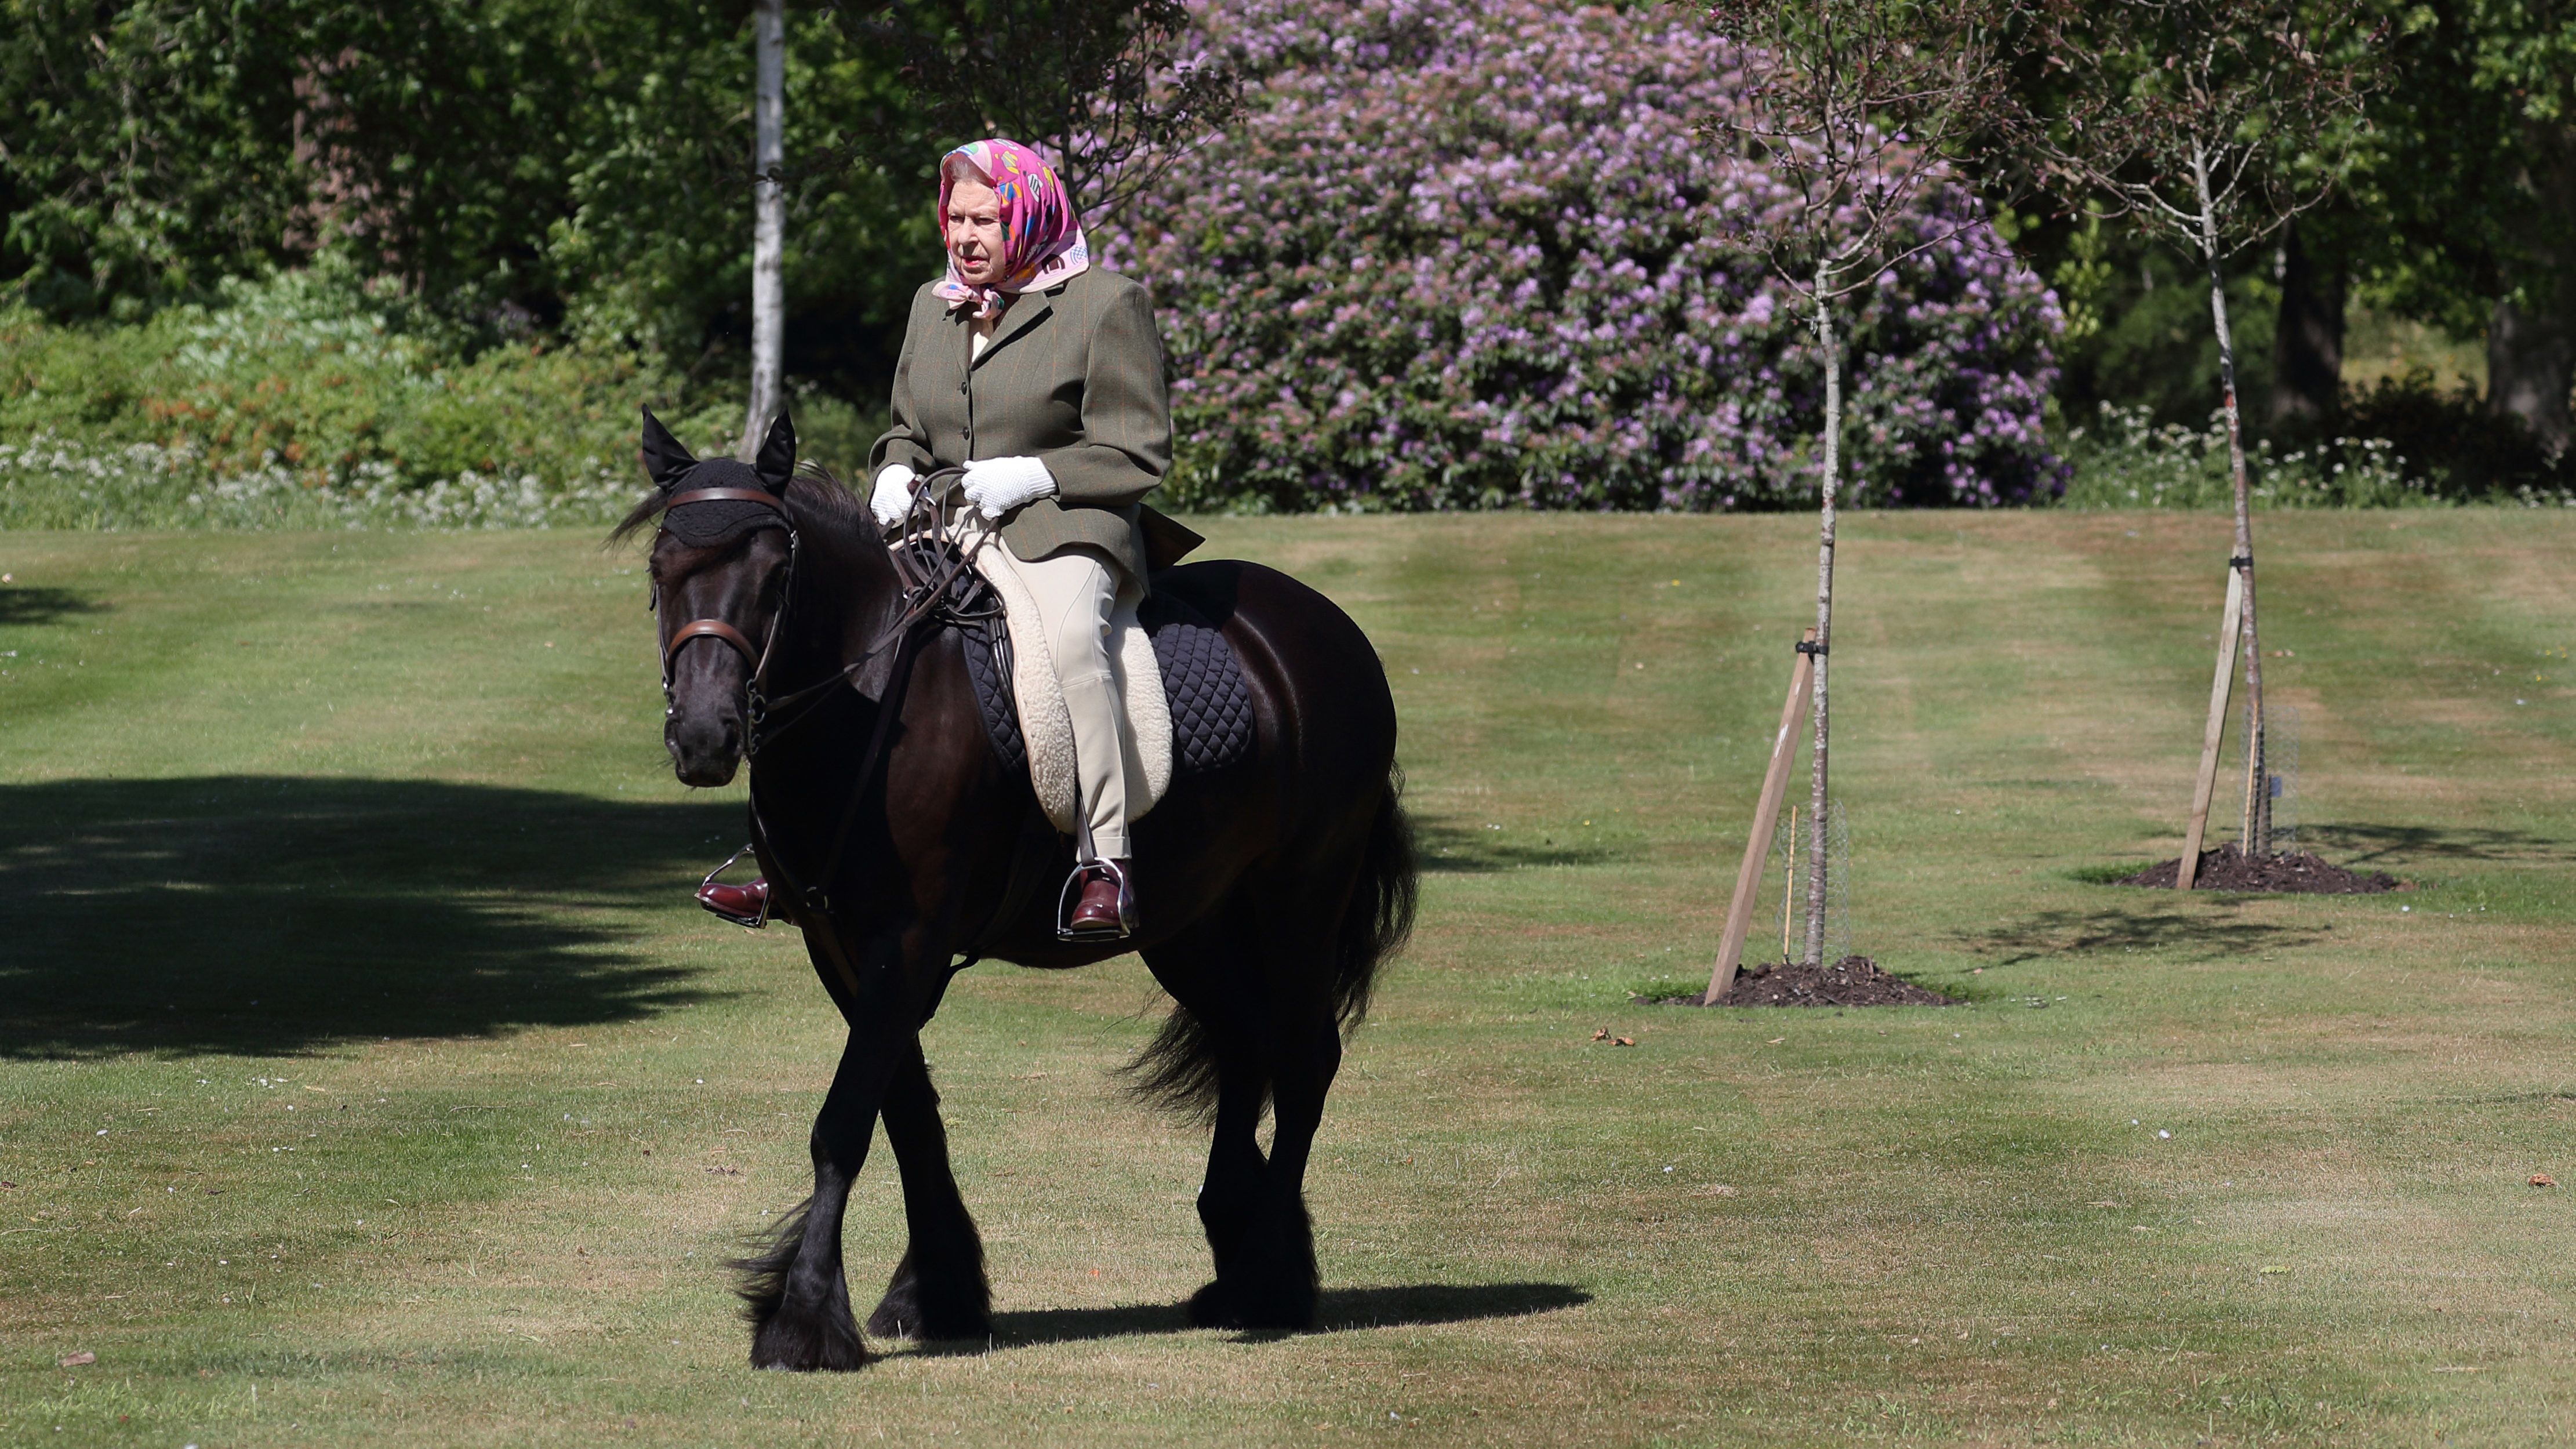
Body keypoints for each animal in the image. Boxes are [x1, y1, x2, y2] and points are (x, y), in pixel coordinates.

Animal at [620, 407, 1422, 1361]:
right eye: (661, 572)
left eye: (777, 576)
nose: (705, 737)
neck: (869, 698)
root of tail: (1323, 627)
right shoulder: (841, 943)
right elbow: (906, 1111)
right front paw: (936, 1290)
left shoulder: (909, 939)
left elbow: (844, 1122)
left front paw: (805, 1316)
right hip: (1190, 921)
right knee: (1244, 1042)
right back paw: (1237, 1249)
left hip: (1299, 891)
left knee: (1302, 1059)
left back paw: (1268, 1276)